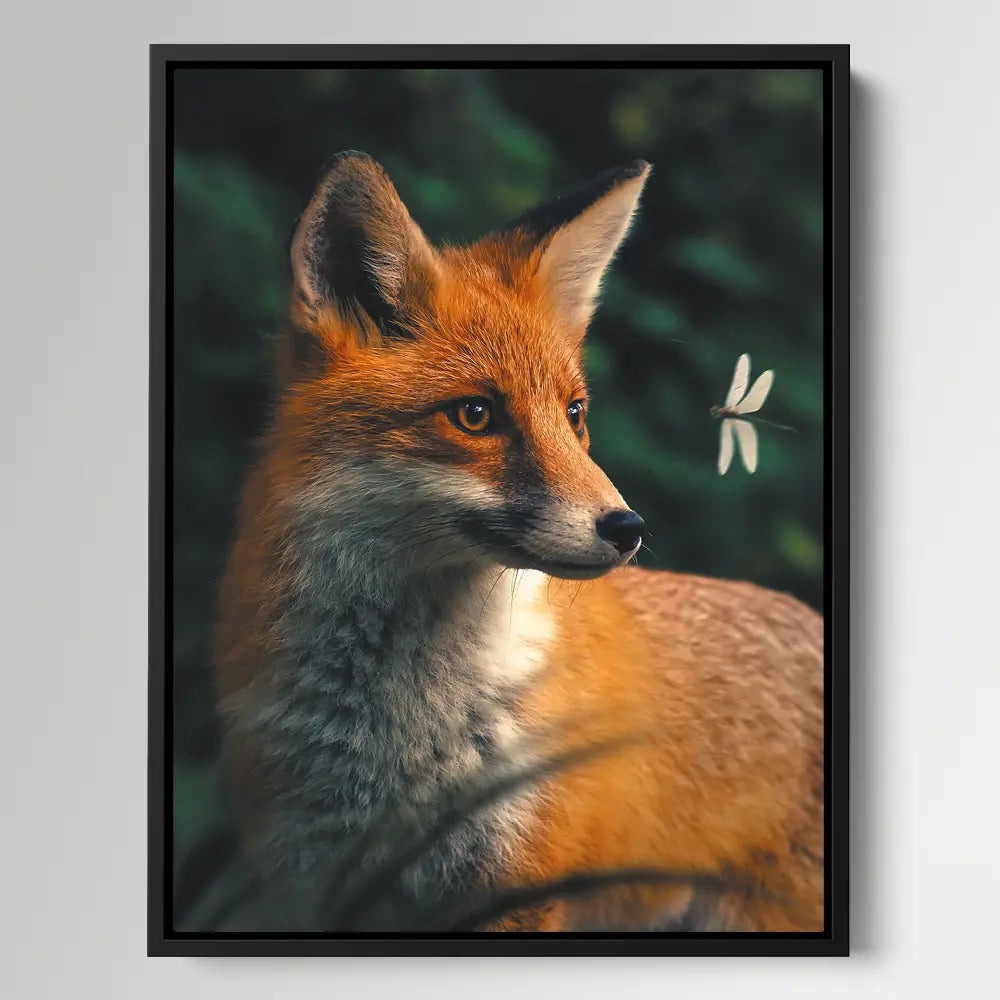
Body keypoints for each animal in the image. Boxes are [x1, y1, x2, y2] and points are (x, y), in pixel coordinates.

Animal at [214, 151, 824, 933]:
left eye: (575, 414)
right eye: (475, 415)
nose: (628, 528)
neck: (395, 734)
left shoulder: (518, 881)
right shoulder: (309, 880)